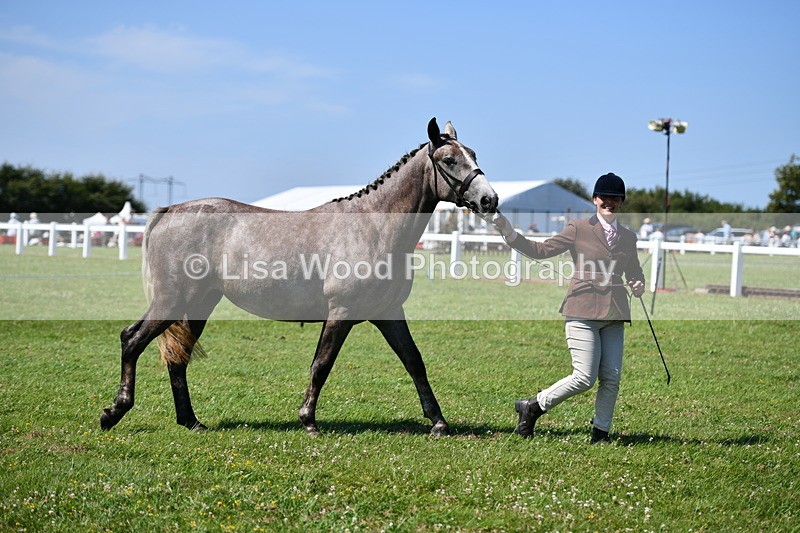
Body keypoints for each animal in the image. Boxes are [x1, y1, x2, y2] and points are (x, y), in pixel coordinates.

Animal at [100, 118, 499, 436]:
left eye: (475, 155)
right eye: (449, 160)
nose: (489, 200)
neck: (373, 226)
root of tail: (170, 211)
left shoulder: (389, 314)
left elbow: (415, 362)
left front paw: (439, 422)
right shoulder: (341, 313)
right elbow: (321, 365)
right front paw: (308, 420)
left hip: (199, 304)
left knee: (177, 359)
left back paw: (190, 421)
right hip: (172, 300)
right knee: (132, 339)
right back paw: (114, 412)